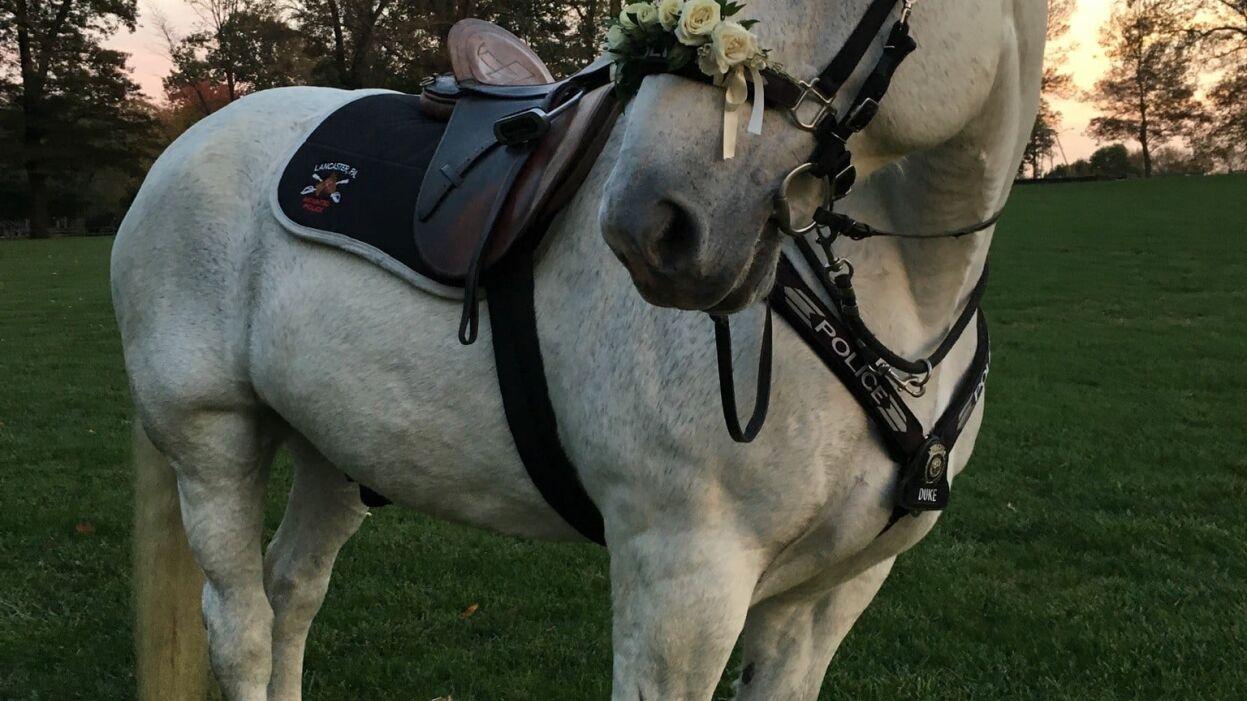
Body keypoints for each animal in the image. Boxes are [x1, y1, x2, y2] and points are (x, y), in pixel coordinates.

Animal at [111, 0, 1046, 698]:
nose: (650, 222)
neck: (902, 299)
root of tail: (184, 145)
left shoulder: (830, 596)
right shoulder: (682, 580)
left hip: (336, 448)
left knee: (292, 590)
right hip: (210, 439)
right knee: (241, 625)